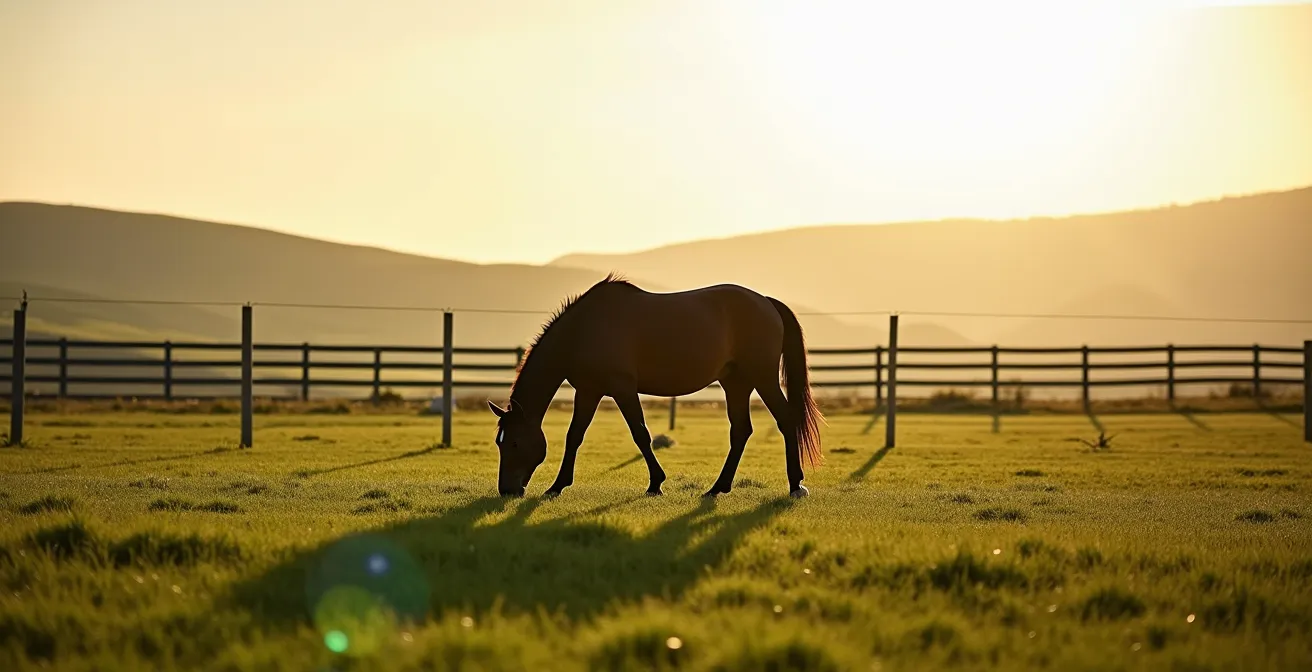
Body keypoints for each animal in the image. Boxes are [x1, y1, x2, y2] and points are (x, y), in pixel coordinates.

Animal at [487, 273, 823, 499]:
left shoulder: (622, 388)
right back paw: (718, 488)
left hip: (762, 378)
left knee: (786, 419)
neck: (584, 329)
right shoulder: (589, 390)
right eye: (499, 443)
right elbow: (575, 436)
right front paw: (557, 486)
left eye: (514, 442)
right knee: (741, 431)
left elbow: (640, 434)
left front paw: (656, 483)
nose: (507, 490)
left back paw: (796, 485)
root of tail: (767, 303)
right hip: (735, 383)